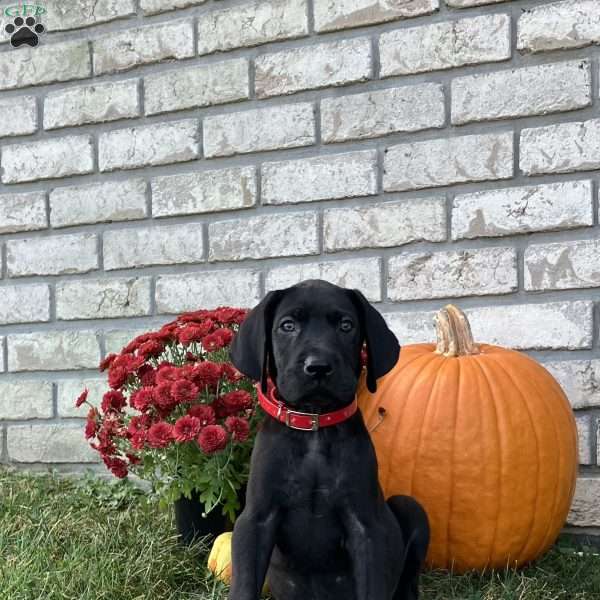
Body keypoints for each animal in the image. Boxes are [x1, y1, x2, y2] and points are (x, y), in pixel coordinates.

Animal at [227, 282, 428, 600]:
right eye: (287, 325)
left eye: (346, 325)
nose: (318, 367)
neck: (315, 426)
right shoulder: (255, 520)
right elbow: (244, 586)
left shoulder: (366, 526)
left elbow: (373, 586)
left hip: (411, 508)